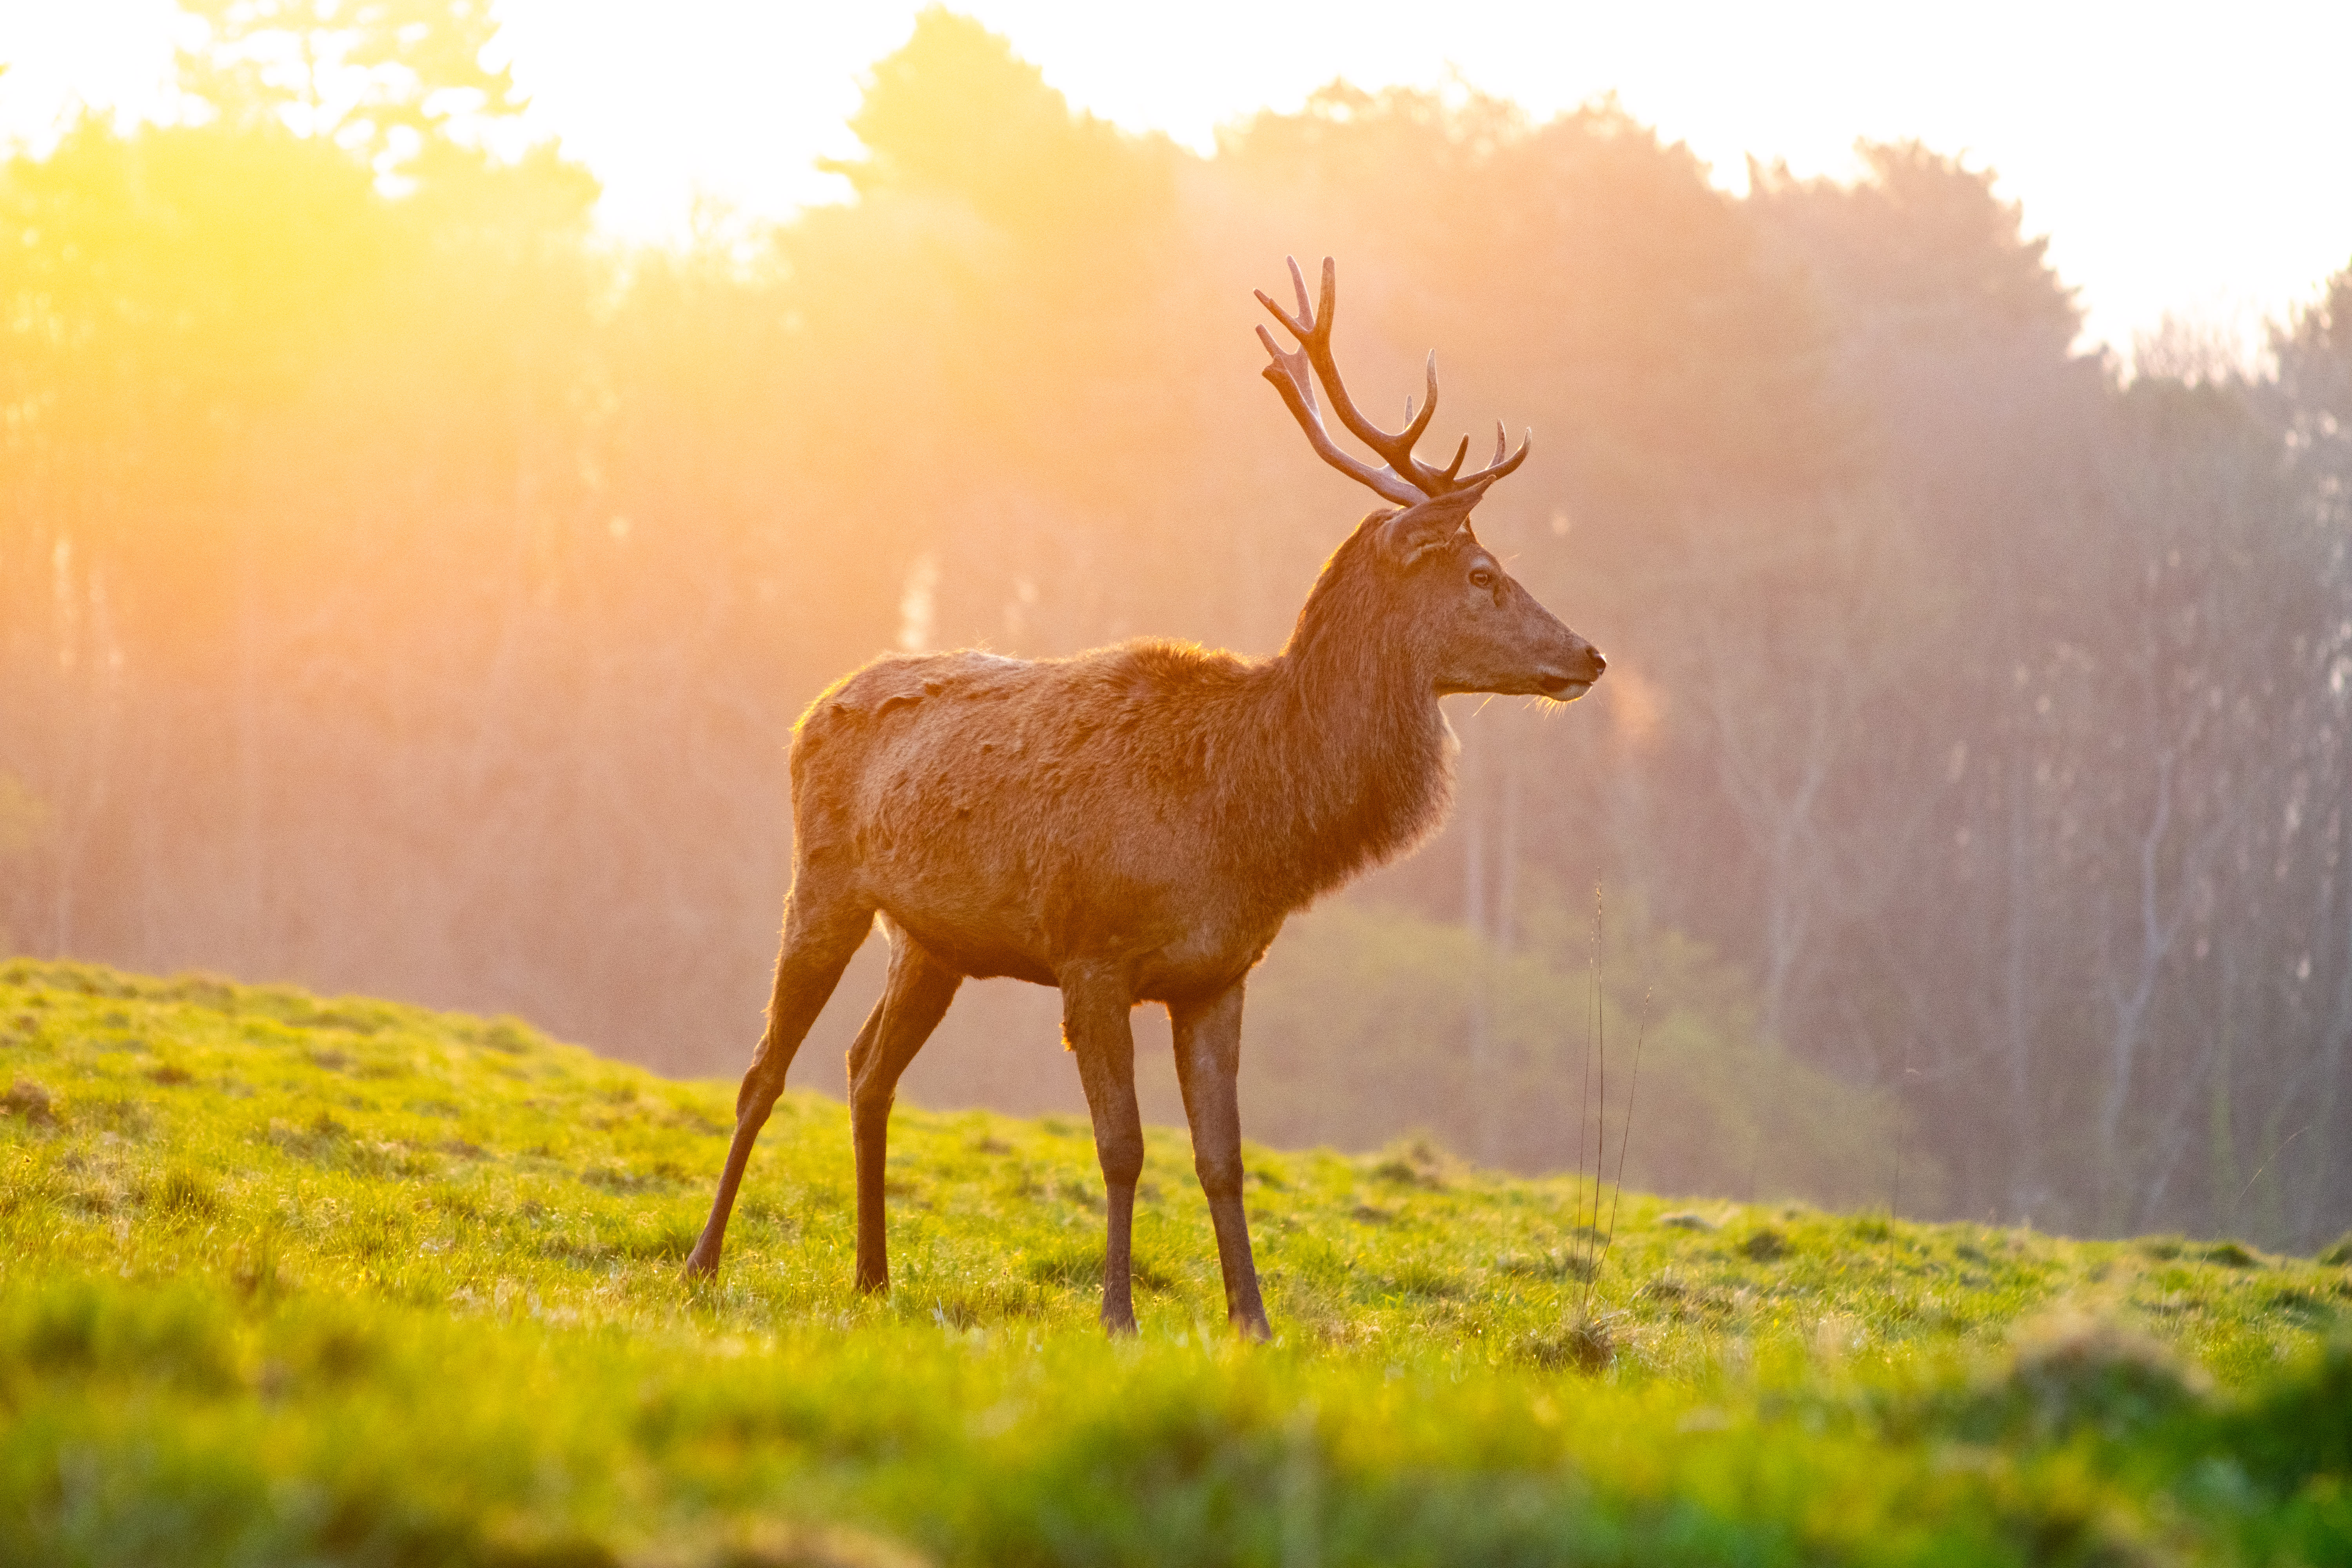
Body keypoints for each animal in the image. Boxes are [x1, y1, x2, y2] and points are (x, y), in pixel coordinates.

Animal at [683, 257, 1605, 1339]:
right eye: (1482, 572)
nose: (1589, 654)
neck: (1244, 815)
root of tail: (812, 709)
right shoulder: (1091, 949)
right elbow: (1122, 1145)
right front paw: (1117, 1315)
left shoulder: (1219, 972)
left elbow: (1223, 1157)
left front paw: (1253, 1321)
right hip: (825, 880)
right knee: (764, 1068)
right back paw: (703, 1261)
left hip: (936, 939)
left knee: (870, 1068)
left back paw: (875, 1276)